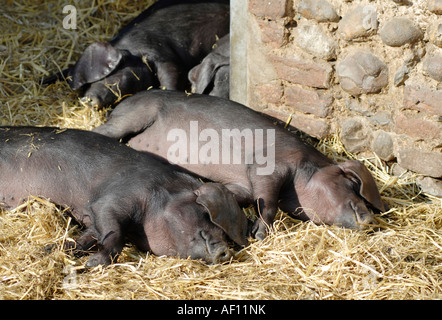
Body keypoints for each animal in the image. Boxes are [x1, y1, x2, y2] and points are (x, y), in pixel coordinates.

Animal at [0, 126, 249, 266]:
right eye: (205, 213)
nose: (225, 251)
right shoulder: (113, 199)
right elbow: (114, 232)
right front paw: (94, 263)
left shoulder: (95, 219)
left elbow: (87, 238)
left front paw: (48, 250)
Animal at [43, 0, 230, 108]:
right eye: (86, 86)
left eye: (112, 75)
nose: (86, 100)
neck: (133, 51)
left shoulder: (161, 56)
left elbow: (170, 77)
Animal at [94, 90, 386, 240]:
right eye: (350, 183)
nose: (370, 219)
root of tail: (123, 102)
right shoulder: (268, 166)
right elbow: (267, 202)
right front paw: (258, 234)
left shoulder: (242, 185)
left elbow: (242, 197)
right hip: (135, 115)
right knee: (104, 132)